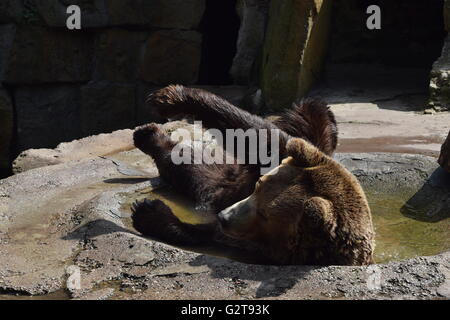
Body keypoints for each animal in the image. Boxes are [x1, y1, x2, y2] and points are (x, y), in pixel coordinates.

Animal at [132, 85, 374, 264]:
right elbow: (258, 135)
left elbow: (201, 234)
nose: (223, 216)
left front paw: (148, 212)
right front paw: (169, 97)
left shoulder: (252, 246)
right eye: (258, 186)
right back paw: (148, 134)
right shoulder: (280, 158)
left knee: (195, 171)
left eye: (265, 214)